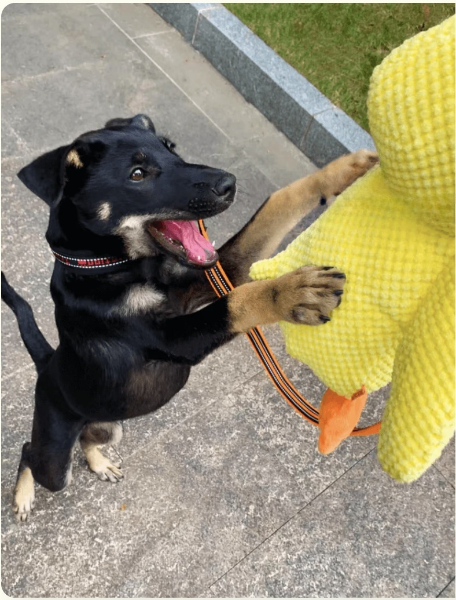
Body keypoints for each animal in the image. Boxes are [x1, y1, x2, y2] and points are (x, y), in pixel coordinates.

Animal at [0, 115, 378, 516]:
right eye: (137, 174)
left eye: (171, 148)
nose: (229, 183)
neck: (110, 266)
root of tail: (48, 364)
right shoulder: (177, 340)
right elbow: (238, 302)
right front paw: (295, 291)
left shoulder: (212, 275)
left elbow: (277, 204)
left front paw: (345, 169)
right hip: (55, 456)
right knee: (30, 453)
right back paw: (23, 496)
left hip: (111, 424)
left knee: (89, 440)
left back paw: (100, 464)